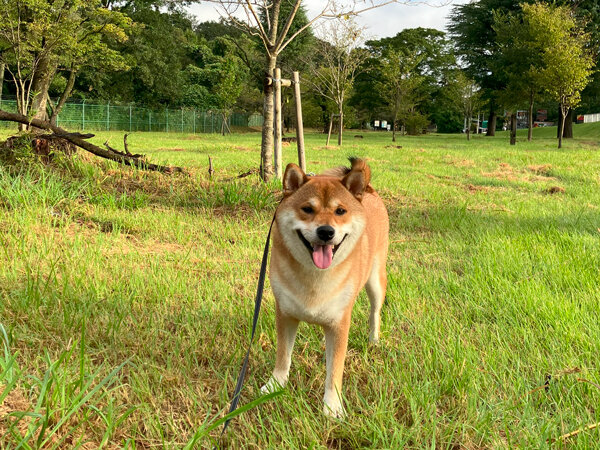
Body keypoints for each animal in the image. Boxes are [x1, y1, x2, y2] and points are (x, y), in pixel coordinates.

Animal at [262, 158, 390, 418]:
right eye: (307, 209)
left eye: (340, 211)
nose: (326, 231)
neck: (315, 277)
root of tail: (368, 191)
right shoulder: (285, 314)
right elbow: (283, 355)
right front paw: (275, 385)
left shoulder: (340, 323)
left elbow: (335, 369)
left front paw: (332, 406)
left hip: (375, 282)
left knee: (375, 312)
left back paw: (373, 340)